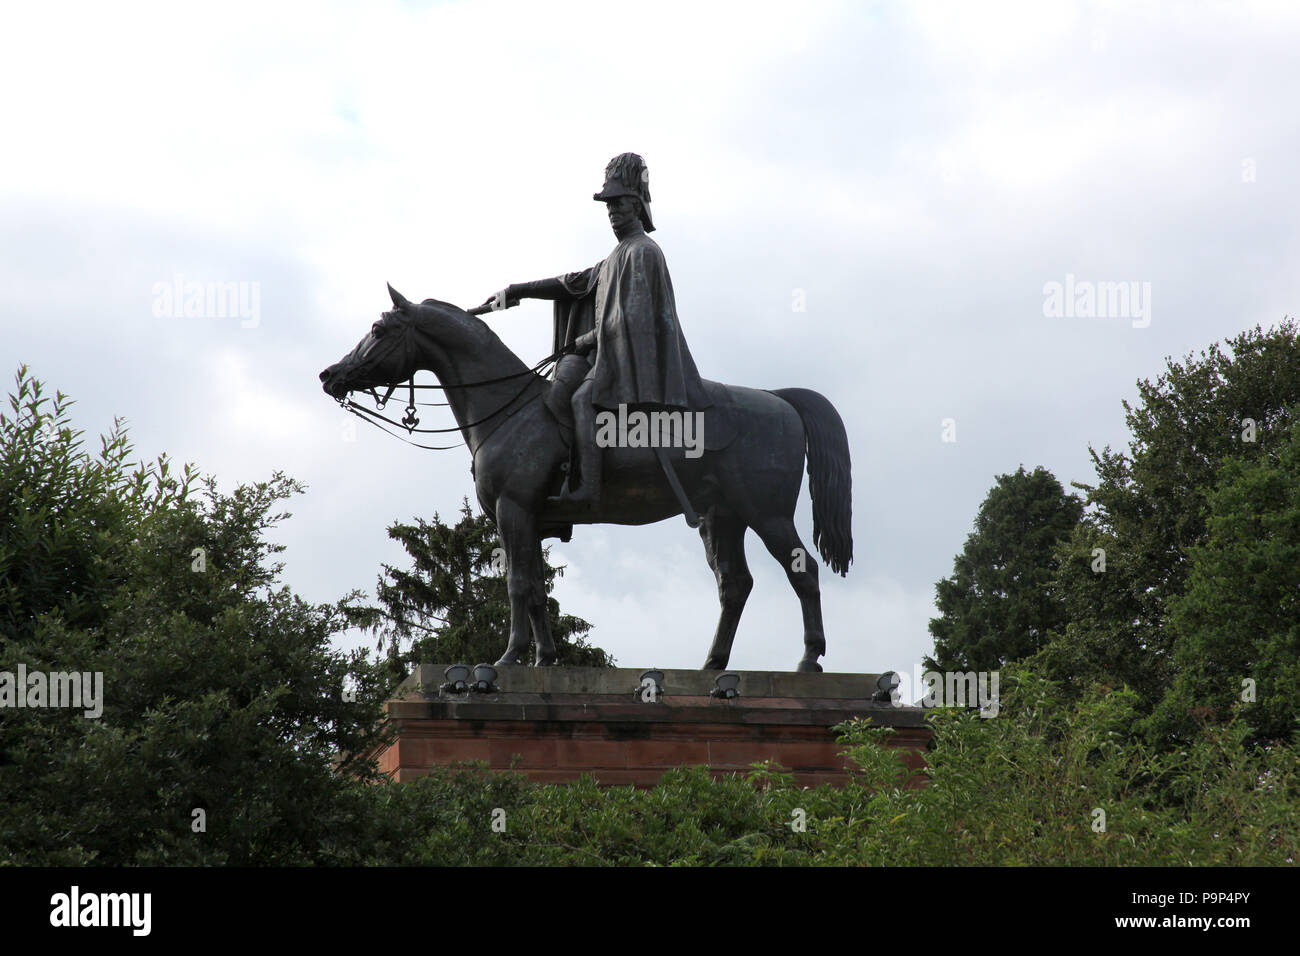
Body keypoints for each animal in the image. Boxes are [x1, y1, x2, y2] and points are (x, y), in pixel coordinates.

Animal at [321, 286, 852, 671]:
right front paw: (544, 659)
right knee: (734, 585)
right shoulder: (530, 521)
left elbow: (517, 583)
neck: (509, 409)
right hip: (722, 519)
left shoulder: (513, 511)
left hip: (768, 515)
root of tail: (777, 398)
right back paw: (712, 664)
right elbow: (537, 589)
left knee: (803, 572)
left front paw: (509, 658)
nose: (330, 375)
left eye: (378, 328)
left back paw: (809, 660)